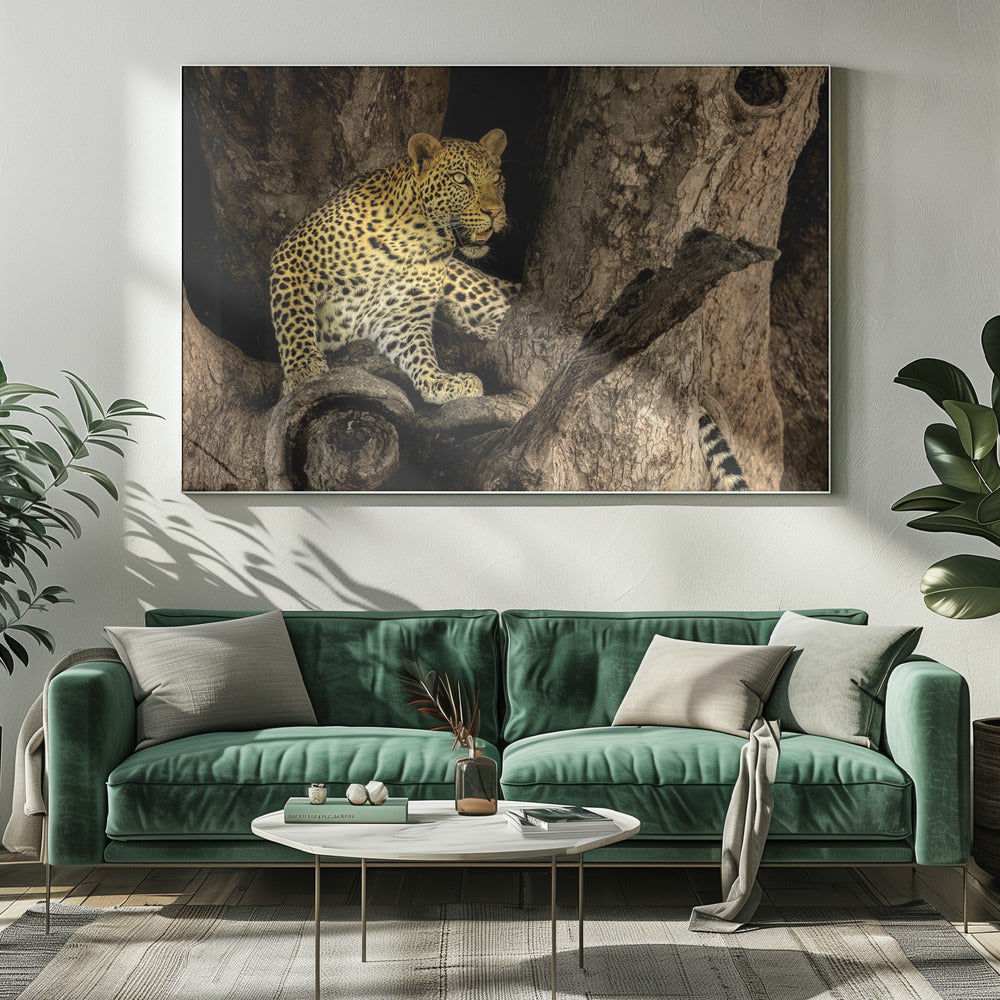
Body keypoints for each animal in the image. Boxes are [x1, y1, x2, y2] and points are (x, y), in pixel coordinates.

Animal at [270, 128, 517, 404]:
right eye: (460, 179)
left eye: (496, 178)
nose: (496, 212)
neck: (416, 238)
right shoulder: (295, 256)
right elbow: (294, 320)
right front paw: (304, 369)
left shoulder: (402, 313)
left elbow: (419, 350)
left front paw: (439, 381)